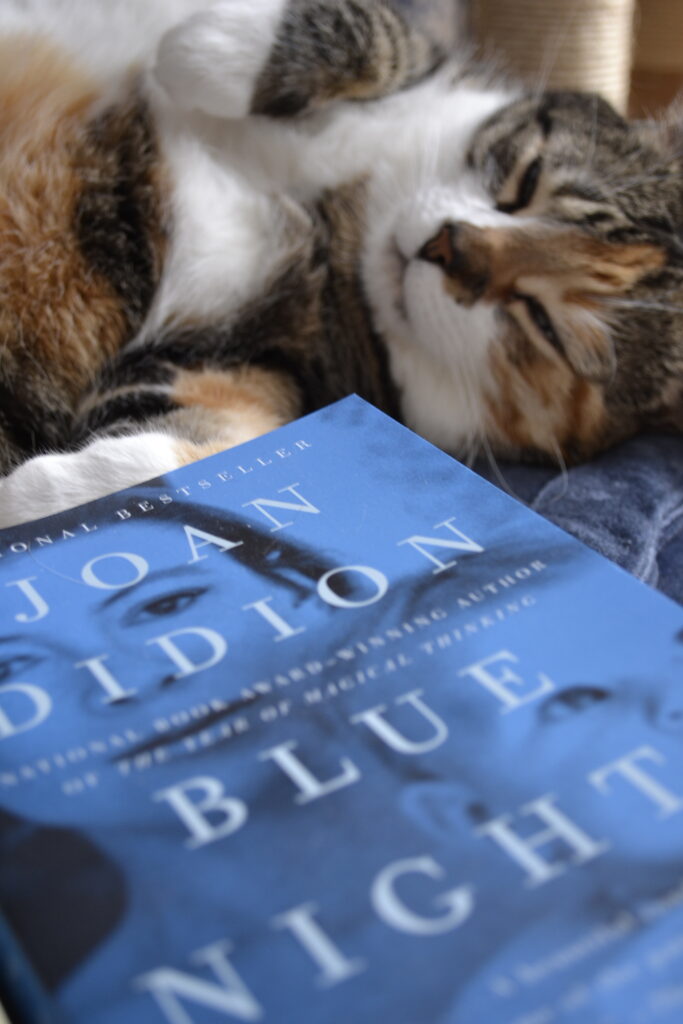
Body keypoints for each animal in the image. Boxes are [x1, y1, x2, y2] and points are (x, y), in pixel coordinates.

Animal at [1, 0, 683, 528]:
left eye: (544, 325)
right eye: (528, 179)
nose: (449, 247)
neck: (344, 219)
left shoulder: (241, 354)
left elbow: (226, 434)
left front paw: (35, 501)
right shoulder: (434, 70)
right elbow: (393, 34)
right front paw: (202, 48)